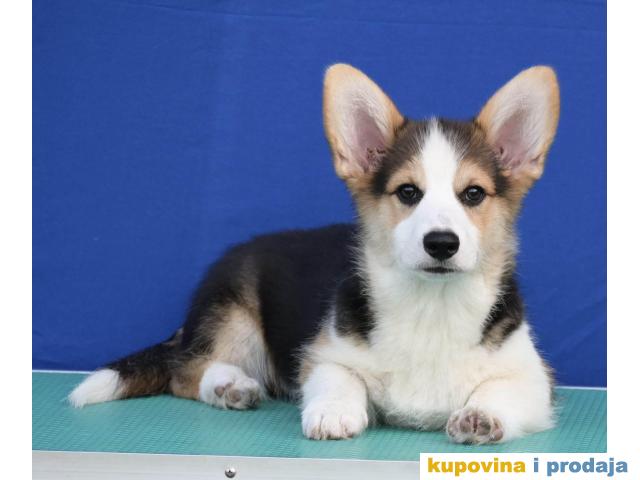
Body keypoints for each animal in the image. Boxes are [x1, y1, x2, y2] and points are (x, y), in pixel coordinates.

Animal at [69, 64, 560, 444]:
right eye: (408, 192)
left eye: (473, 194)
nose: (441, 243)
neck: (430, 307)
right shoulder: (323, 355)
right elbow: (339, 377)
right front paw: (334, 411)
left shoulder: (534, 380)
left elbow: (499, 390)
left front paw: (481, 416)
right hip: (234, 317)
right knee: (184, 371)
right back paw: (229, 384)